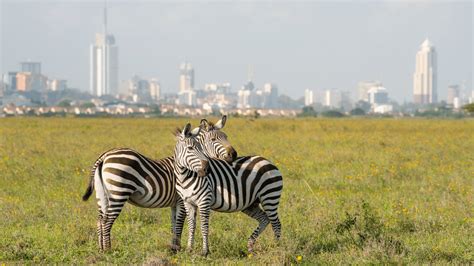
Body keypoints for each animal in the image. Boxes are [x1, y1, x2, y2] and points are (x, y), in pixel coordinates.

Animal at [82, 115, 237, 251]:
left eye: (226, 137)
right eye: (214, 139)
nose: (234, 155)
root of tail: (105, 156)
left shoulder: (175, 203)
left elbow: (174, 225)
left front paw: (173, 247)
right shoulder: (181, 200)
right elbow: (180, 224)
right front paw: (177, 248)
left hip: (102, 195)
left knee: (100, 220)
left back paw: (101, 249)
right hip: (118, 193)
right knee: (107, 222)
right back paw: (108, 250)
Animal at [173, 123, 282, 256]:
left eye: (200, 148)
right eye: (190, 148)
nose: (207, 169)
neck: (185, 176)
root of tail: (268, 161)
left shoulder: (204, 201)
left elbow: (204, 227)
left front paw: (205, 252)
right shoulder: (188, 202)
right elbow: (191, 226)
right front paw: (189, 249)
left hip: (270, 197)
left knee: (276, 223)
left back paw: (276, 248)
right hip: (251, 204)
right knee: (264, 219)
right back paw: (250, 246)